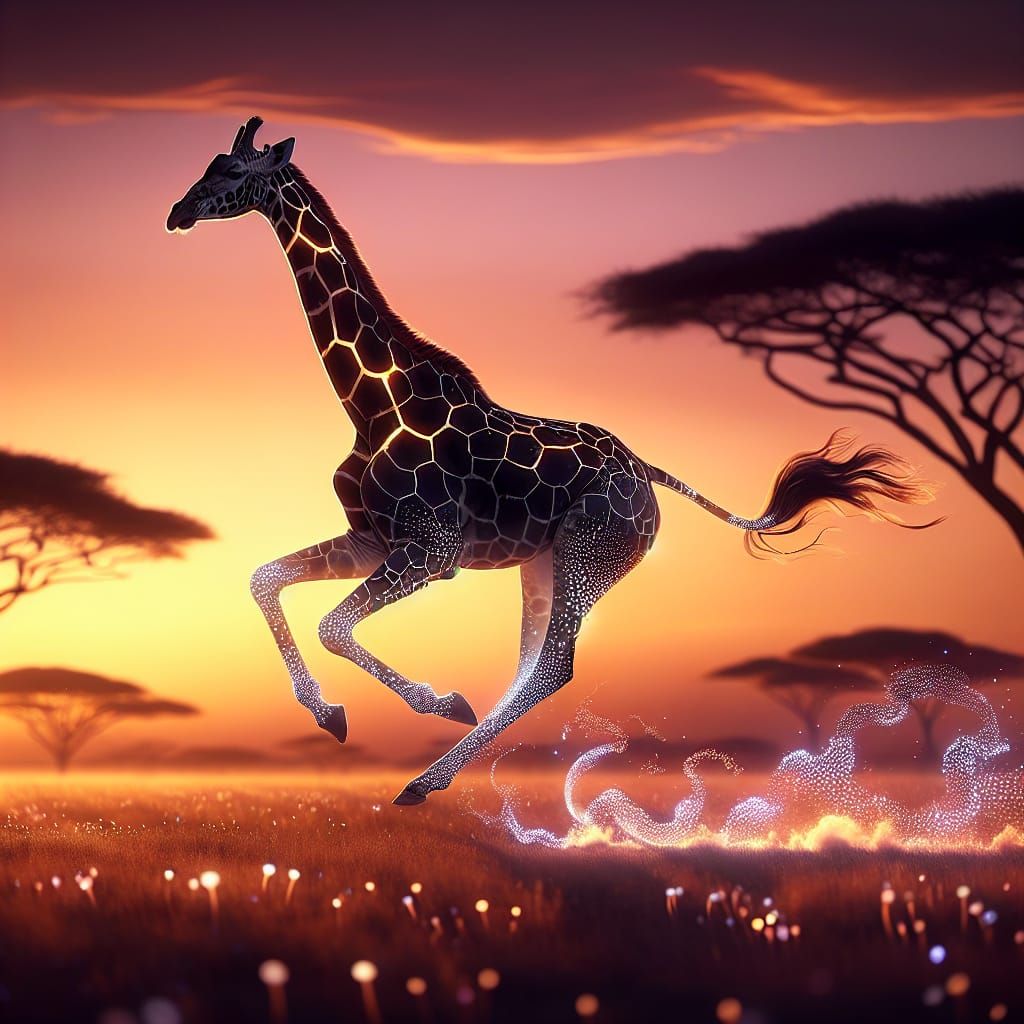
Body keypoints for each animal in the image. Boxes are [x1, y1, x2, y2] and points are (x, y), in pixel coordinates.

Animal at [167, 117, 936, 805]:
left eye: (229, 173)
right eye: (207, 163)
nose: (176, 213)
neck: (372, 402)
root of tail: (647, 474)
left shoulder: (429, 552)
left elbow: (331, 624)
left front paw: (434, 700)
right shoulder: (373, 539)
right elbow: (265, 579)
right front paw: (331, 714)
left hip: (588, 558)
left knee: (552, 666)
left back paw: (423, 780)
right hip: (542, 563)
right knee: (531, 663)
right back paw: (435, 771)